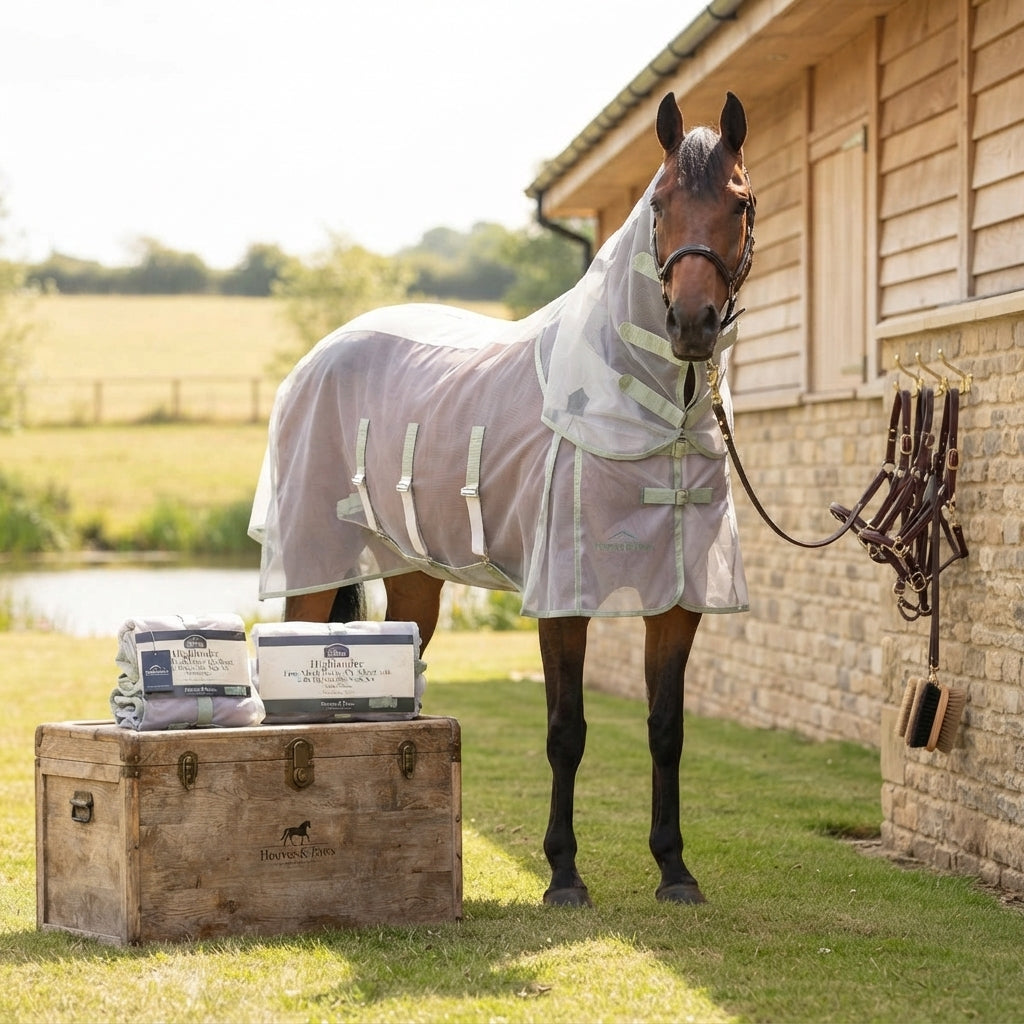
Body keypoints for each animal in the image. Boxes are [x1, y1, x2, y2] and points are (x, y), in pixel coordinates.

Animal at [249, 91, 755, 907]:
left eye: (738, 202)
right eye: (660, 204)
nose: (691, 325)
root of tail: (320, 354)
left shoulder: (678, 599)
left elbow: (666, 728)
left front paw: (675, 869)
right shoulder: (562, 597)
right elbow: (567, 730)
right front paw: (564, 874)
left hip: (413, 580)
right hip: (311, 566)